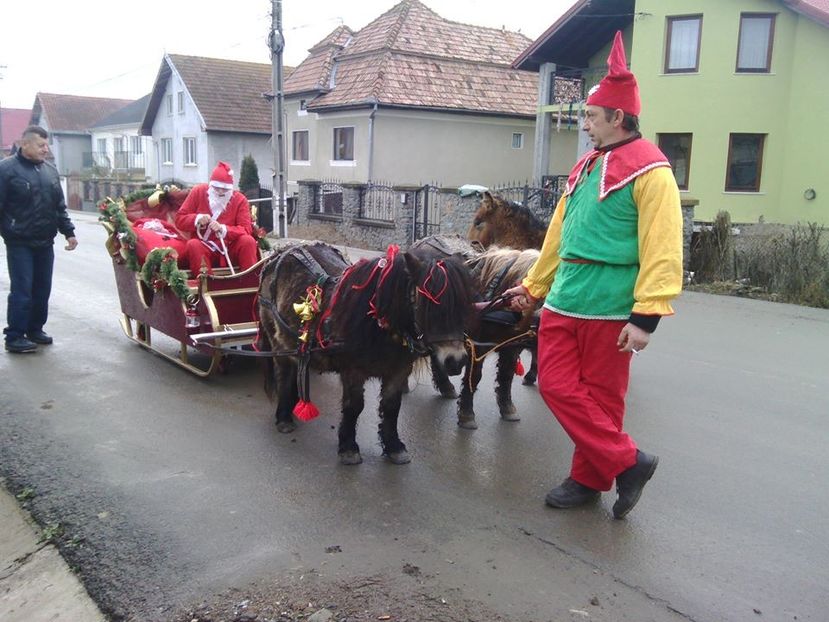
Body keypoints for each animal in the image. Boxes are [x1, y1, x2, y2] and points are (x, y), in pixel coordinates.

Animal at [258, 241, 478, 466]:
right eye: (427, 306)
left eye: (463, 306)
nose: (456, 361)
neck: (377, 322)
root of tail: (283, 252)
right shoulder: (353, 371)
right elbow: (354, 406)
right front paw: (348, 448)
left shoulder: (399, 371)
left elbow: (391, 406)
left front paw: (394, 446)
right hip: (277, 339)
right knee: (284, 372)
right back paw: (284, 416)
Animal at [406, 236, 536, 432]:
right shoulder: (478, 346)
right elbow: (473, 377)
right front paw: (467, 414)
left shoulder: (511, 347)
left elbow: (506, 375)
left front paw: (507, 408)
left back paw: (446, 387)